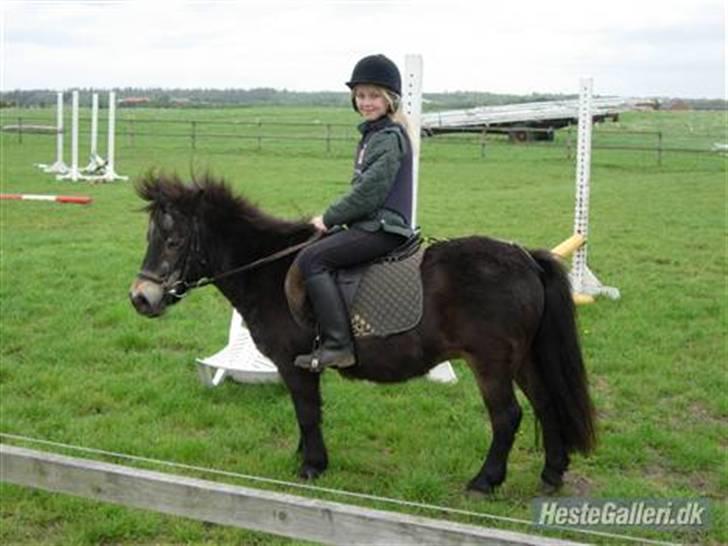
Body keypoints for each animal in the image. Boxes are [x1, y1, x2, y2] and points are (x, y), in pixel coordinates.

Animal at [129, 172, 596, 490]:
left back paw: (485, 481)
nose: (140, 298)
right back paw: (552, 473)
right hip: (523, 358)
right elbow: (307, 413)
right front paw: (304, 455)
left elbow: (306, 411)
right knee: (546, 404)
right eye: (151, 237)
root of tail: (524, 258)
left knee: (508, 416)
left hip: (492, 363)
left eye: (173, 241)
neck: (269, 268)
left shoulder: (295, 364)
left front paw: (312, 465)